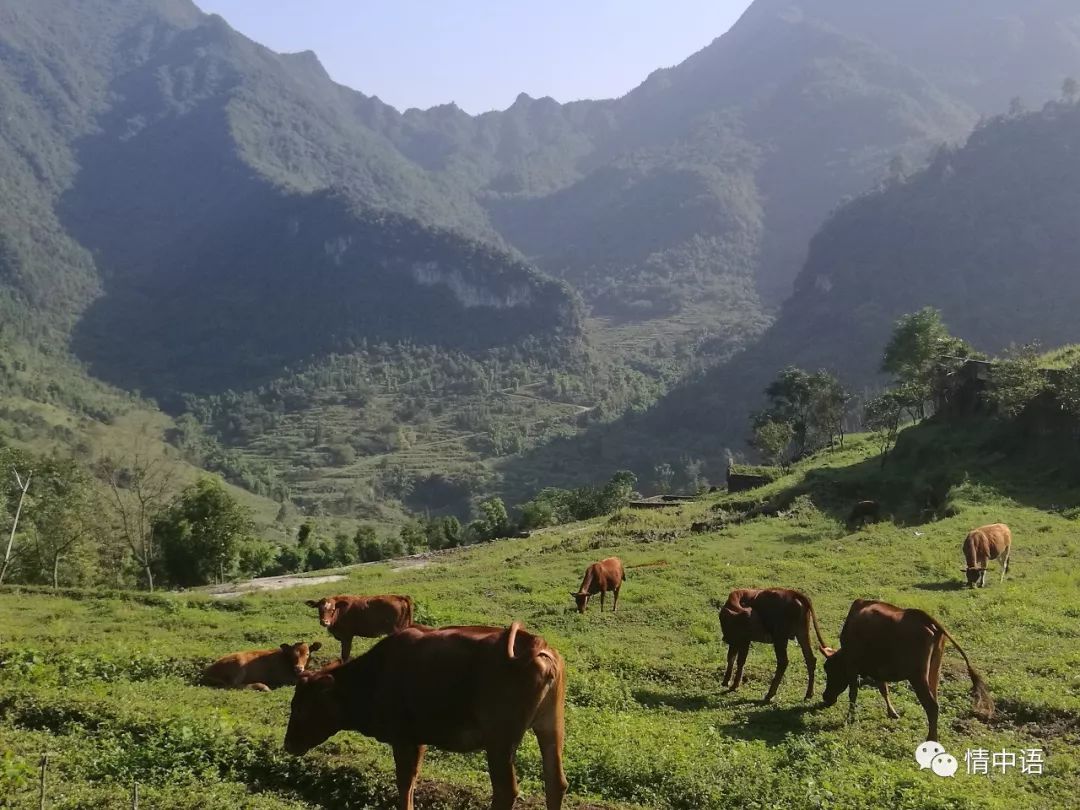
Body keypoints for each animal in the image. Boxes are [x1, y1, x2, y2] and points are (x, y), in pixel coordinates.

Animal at [282, 626, 570, 810]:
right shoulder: (418, 739)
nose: (288, 745)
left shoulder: (402, 737)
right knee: (556, 783)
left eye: (301, 708)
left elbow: (404, 782)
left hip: (500, 740)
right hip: (551, 726)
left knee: (505, 791)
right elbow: (412, 780)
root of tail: (535, 643)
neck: (374, 676)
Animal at [820, 600, 989, 747]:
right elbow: (883, 689)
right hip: (934, 670)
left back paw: (931, 739)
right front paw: (892, 713)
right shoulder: (878, 669)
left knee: (932, 706)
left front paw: (850, 719)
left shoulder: (852, 667)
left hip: (918, 676)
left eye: (828, 668)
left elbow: (853, 694)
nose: (825, 697)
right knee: (935, 701)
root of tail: (926, 618)